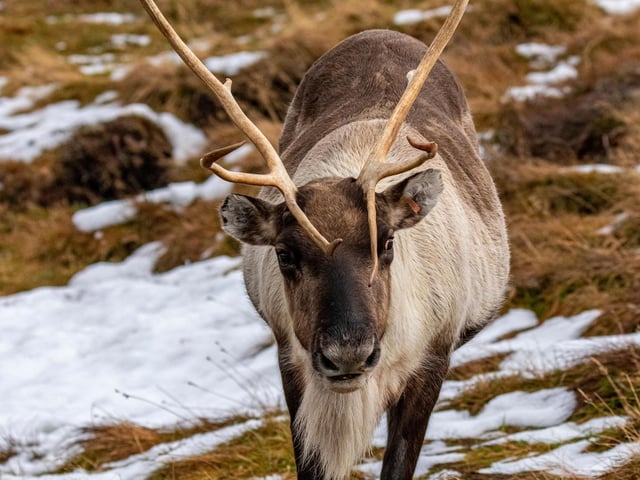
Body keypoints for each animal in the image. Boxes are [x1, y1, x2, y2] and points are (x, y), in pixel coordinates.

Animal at [139, 0, 509, 478]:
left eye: (387, 243)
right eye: (284, 255)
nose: (348, 353)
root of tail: (376, 31)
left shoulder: (431, 361)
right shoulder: (294, 364)